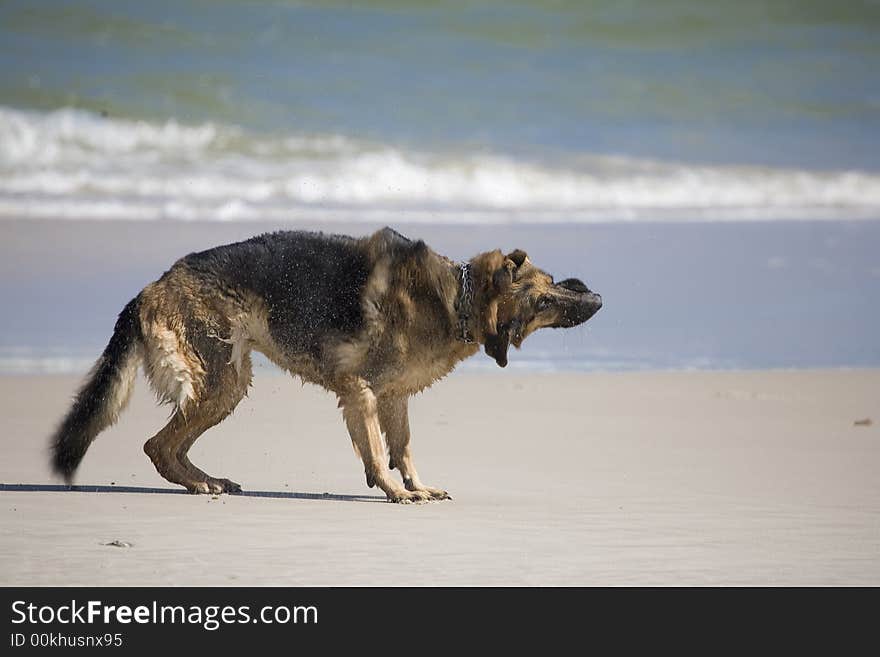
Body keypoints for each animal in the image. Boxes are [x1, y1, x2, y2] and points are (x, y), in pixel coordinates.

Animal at [48, 227, 600, 502]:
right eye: (545, 298)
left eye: (554, 283)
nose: (596, 297)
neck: (454, 300)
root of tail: (150, 288)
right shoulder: (360, 391)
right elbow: (376, 451)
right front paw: (394, 492)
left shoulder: (393, 398)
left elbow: (403, 449)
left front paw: (415, 486)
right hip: (222, 381)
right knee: (158, 445)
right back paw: (203, 484)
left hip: (227, 385)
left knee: (164, 446)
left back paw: (208, 481)